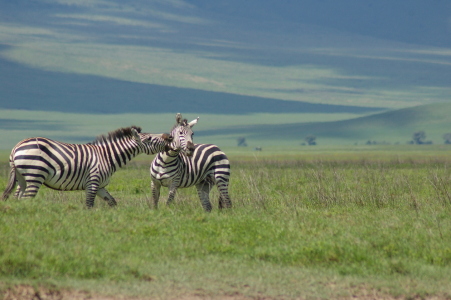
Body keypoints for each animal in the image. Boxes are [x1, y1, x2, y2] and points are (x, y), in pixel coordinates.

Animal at [1, 125, 173, 207]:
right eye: (149, 138)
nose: (169, 137)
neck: (107, 156)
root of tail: (16, 147)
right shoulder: (93, 182)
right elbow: (89, 205)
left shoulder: (101, 186)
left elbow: (112, 202)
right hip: (35, 175)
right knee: (26, 199)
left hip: (22, 178)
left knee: (18, 198)